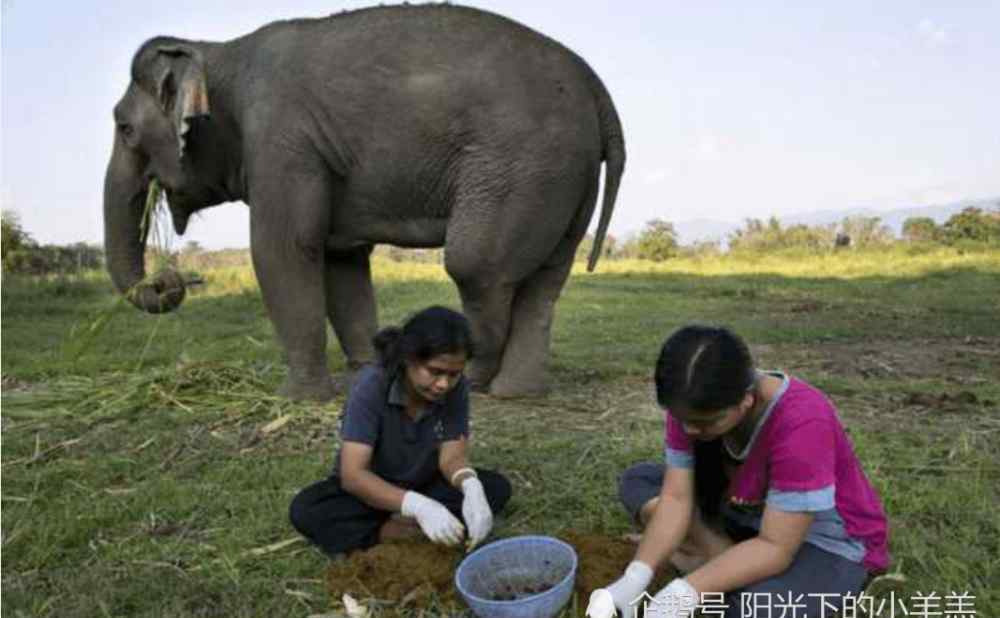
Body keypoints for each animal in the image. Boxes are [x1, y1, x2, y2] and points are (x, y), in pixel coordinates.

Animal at [107, 3, 624, 400]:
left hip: (523, 166)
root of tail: (595, 87)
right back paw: (517, 393)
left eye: (125, 128)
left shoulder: (281, 142)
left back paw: (476, 381)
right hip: (566, 175)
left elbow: (283, 250)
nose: (171, 278)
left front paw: (298, 399)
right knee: (546, 279)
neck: (219, 50)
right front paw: (365, 374)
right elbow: (342, 261)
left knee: (475, 266)